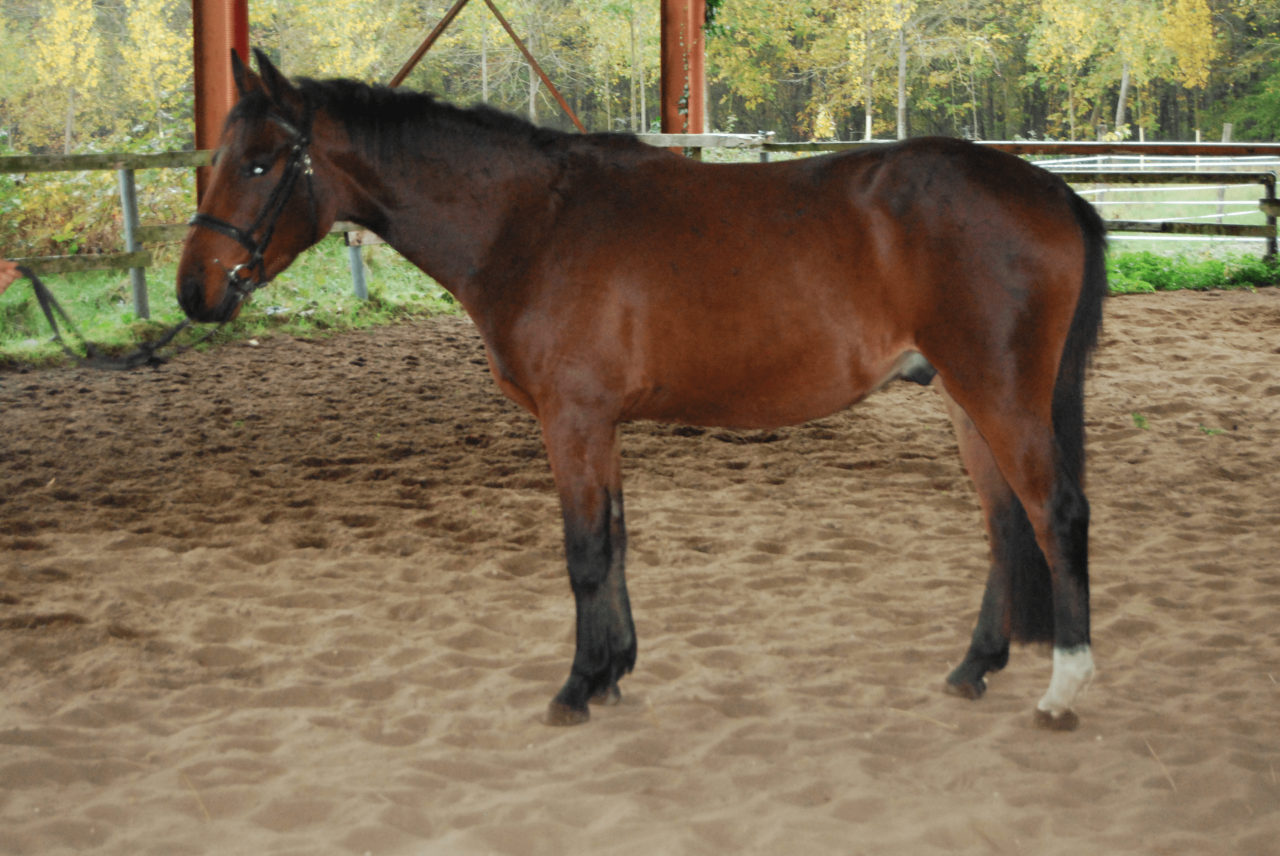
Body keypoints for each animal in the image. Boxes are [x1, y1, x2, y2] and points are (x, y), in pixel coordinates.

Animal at [178, 50, 1106, 730]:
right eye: (220, 156)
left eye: (260, 163)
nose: (194, 291)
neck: (531, 222)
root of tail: (1052, 191)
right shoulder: (601, 426)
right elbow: (616, 542)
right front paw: (613, 671)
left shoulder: (573, 420)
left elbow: (586, 551)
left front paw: (578, 686)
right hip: (966, 401)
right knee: (1004, 523)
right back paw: (975, 668)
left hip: (1000, 397)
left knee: (1055, 514)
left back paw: (1064, 690)